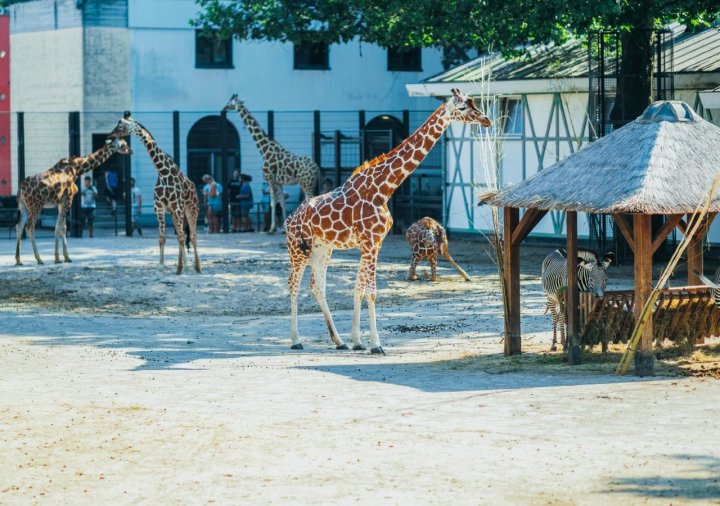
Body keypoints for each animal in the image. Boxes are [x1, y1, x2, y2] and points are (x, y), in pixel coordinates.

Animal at [108, 112, 201, 274]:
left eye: (121, 125)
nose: (110, 135)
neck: (162, 172)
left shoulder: (177, 206)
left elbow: (182, 237)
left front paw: (184, 268)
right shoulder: (159, 207)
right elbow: (163, 237)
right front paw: (162, 266)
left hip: (191, 209)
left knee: (193, 235)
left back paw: (196, 267)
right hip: (175, 212)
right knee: (182, 234)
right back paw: (183, 265)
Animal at [222, 95, 318, 233]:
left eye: (230, 102)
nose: (224, 108)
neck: (264, 150)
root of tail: (317, 168)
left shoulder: (269, 179)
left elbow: (272, 203)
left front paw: (271, 229)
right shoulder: (278, 182)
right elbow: (281, 202)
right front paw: (283, 227)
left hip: (306, 183)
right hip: (311, 183)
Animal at [284, 89, 492, 354]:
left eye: (473, 103)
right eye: (463, 108)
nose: (486, 120)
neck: (384, 188)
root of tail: (288, 219)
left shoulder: (373, 243)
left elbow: (359, 288)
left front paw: (357, 341)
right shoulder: (370, 242)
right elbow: (371, 292)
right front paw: (376, 345)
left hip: (323, 248)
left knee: (316, 285)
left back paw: (339, 341)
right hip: (298, 248)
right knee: (293, 284)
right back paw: (296, 340)